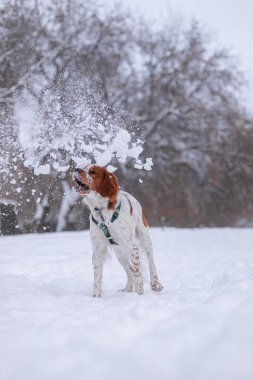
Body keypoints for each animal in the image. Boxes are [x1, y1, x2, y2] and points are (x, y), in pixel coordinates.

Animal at [74, 165, 163, 298]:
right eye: (83, 166)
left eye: (93, 172)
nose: (75, 169)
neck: (102, 211)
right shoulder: (97, 248)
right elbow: (97, 275)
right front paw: (95, 297)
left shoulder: (133, 247)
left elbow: (138, 274)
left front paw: (140, 295)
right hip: (120, 253)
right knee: (130, 270)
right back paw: (127, 290)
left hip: (145, 239)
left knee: (151, 262)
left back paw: (155, 284)